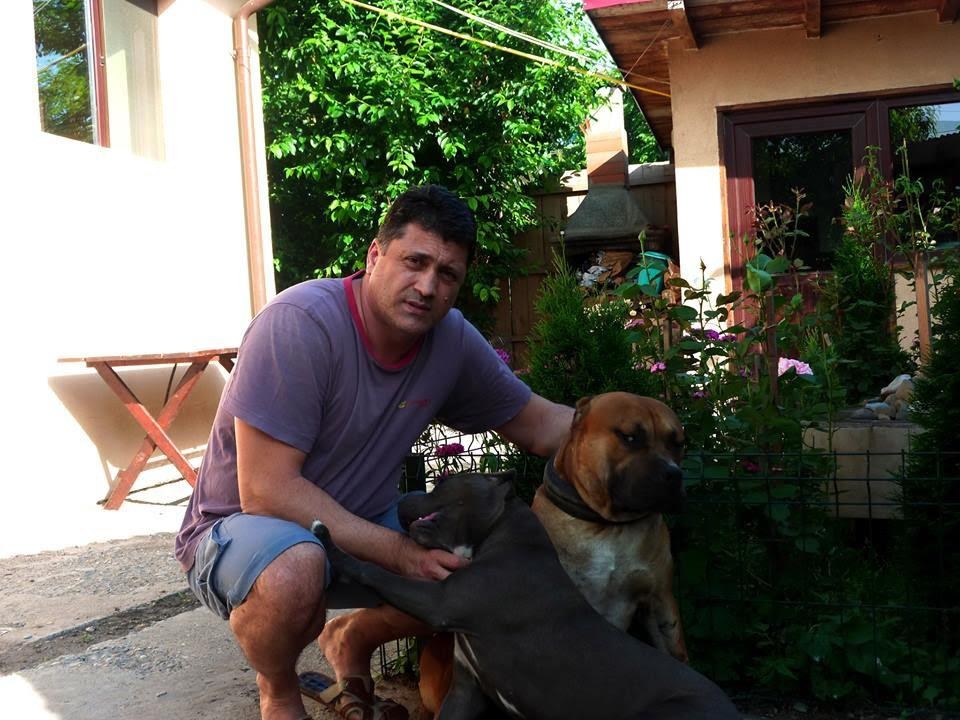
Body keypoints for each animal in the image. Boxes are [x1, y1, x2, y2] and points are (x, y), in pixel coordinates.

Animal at [312, 472, 739, 720]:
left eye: (443, 482)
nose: (402, 497)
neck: (500, 534)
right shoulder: (465, 690)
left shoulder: (440, 600)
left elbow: (373, 570)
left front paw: (330, 544)